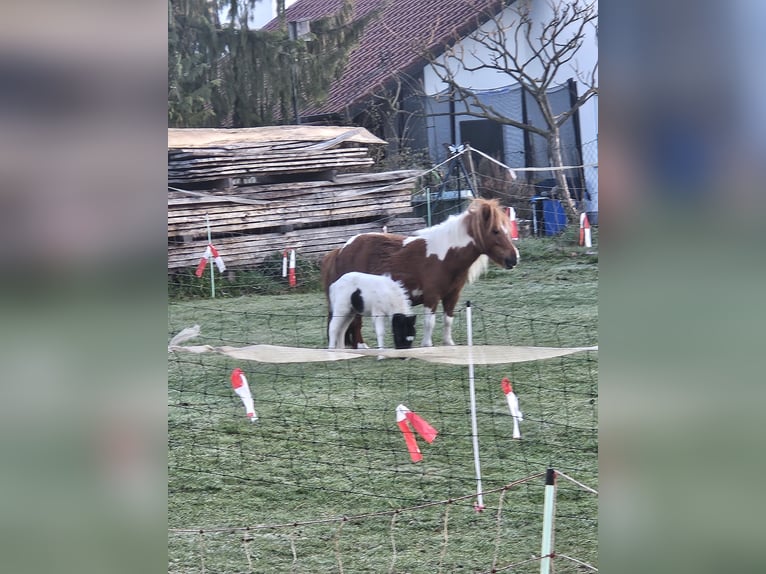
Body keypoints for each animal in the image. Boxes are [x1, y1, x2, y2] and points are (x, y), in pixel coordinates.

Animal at [321, 198, 519, 348]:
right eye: (495, 231)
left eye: (507, 230)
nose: (514, 258)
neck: (445, 255)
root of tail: (340, 250)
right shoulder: (431, 296)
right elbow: (429, 321)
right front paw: (427, 345)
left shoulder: (452, 295)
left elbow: (448, 320)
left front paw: (449, 344)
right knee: (355, 323)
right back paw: (362, 346)